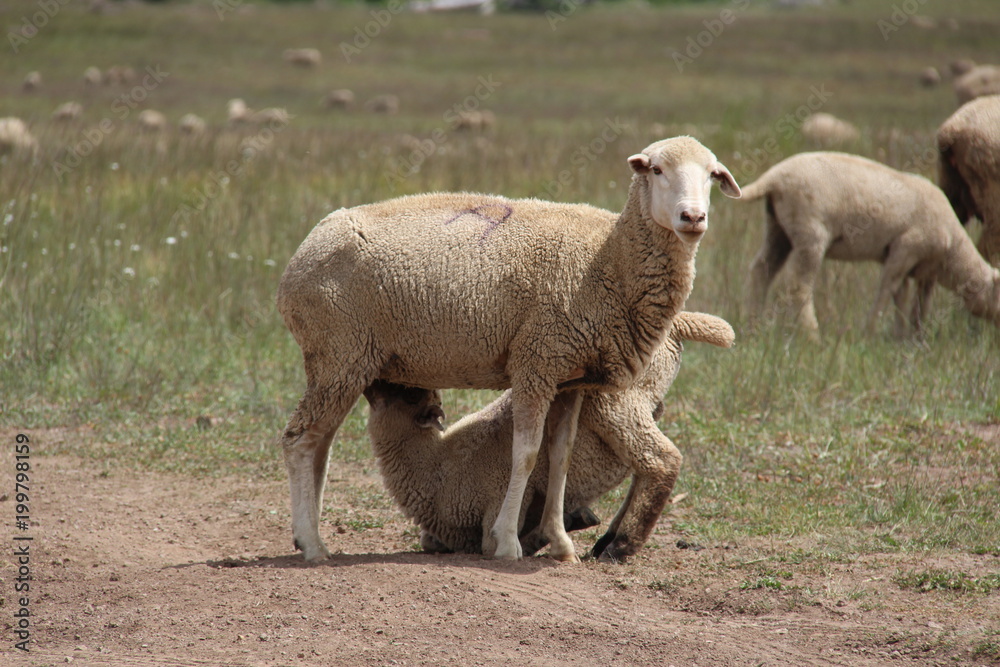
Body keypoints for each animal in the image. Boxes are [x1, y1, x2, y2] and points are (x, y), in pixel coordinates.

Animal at [363, 311, 735, 561]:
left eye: (409, 394)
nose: (371, 379)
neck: (438, 469)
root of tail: (679, 321)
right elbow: (431, 541)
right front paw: (572, 521)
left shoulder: (497, 492)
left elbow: (493, 542)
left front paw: (549, 534)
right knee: (643, 469)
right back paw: (608, 539)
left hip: (614, 400)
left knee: (661, 461)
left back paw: (619, 546)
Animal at [741, 151, 1000, 335]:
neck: (953, 252)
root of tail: (774, 176)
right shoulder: (905, 248)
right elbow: (888, 289)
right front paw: (871, 332)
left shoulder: (923, 270)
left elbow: (913, 300)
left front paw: (911, 337)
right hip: (810, 231)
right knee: (799, 286)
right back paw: (812, 335)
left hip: (778, 227)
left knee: (761, 270)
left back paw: (753, 325)